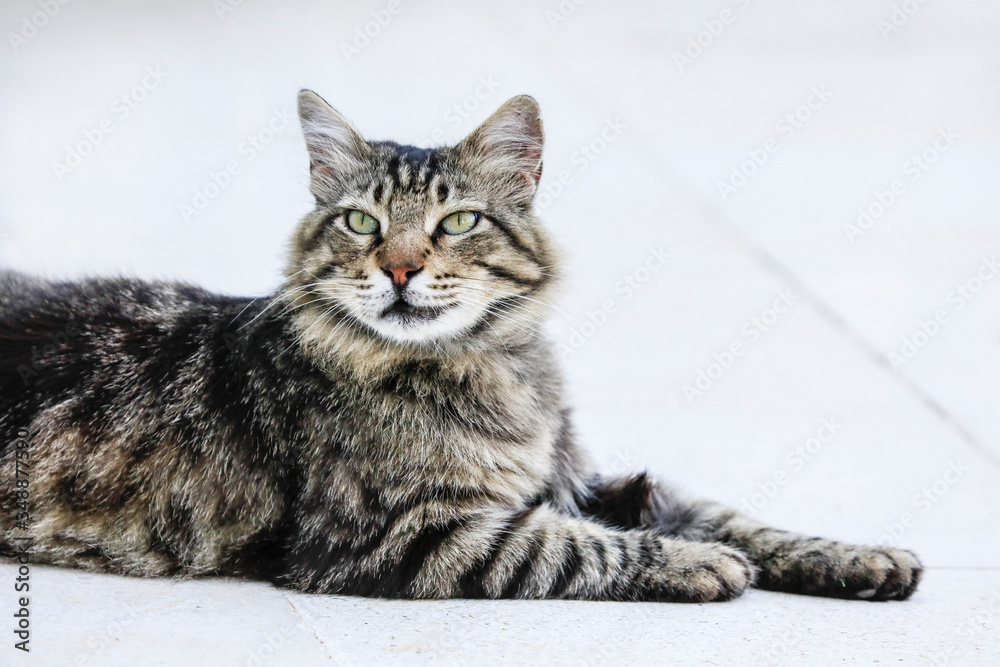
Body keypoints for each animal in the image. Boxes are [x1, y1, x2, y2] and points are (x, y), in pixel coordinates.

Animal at [0, 91, 920, 604]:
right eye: (361, 221)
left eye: (458, 221)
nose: (401, 267)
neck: (501, 370)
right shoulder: (400, 535)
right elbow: (579, 546)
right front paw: (704, 563)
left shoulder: (587, 480)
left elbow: (740, 516)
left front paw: (860, 556)